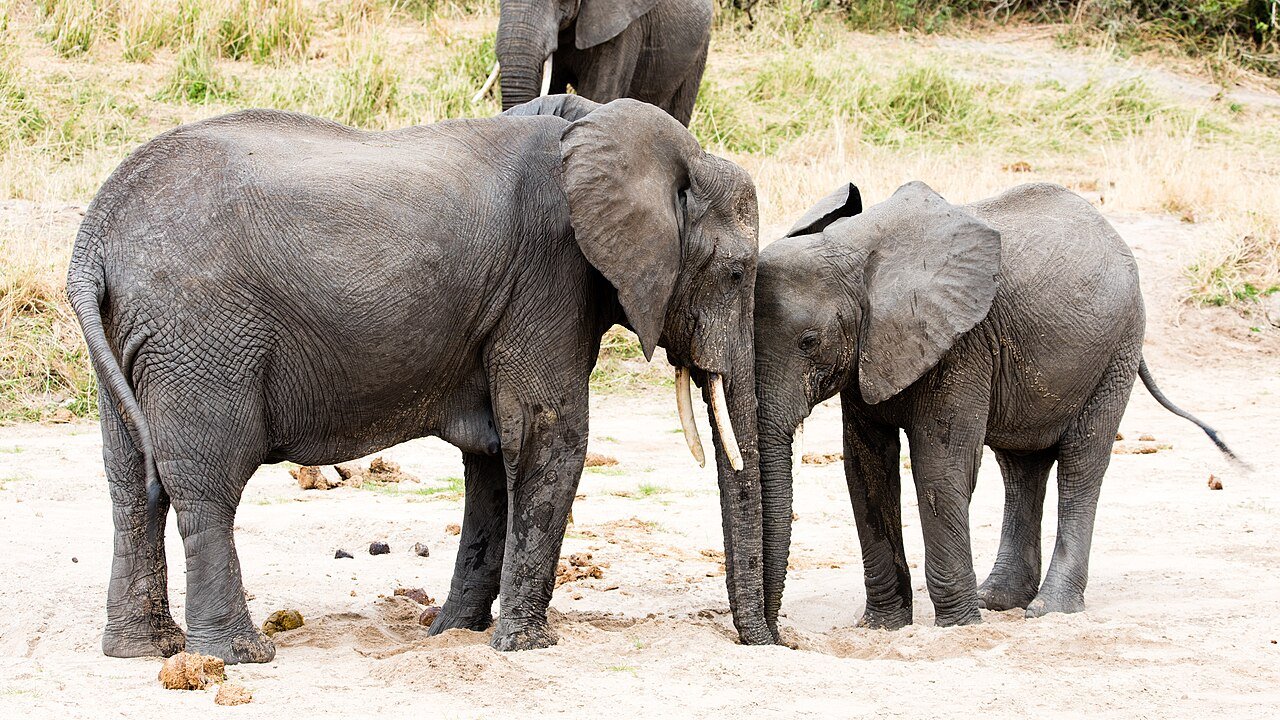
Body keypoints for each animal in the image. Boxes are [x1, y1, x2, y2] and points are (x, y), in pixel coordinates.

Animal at [67, 94, 775, 664]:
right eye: (738, 273)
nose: (767, 643)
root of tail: (95, 235)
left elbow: (493, 456)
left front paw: (451, 634)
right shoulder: (550, 275)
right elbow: (547, 436)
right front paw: (525, 647)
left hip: (135, 338)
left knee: (132, 481)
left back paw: (141, 651)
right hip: (202, 335)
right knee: (205, 482)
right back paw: (240, 656)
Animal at [752, 180, 1239, 631]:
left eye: (808, 342)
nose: (781, 634)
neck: (854, 249)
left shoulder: (961, 344)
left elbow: (940, 468)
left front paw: (958, 628)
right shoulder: (866, 359)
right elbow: (866, 471)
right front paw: (883, 627)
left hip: (1117, 350)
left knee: (1081, 464)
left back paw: (1048, 609)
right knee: (1021, 469)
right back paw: (998, 601)